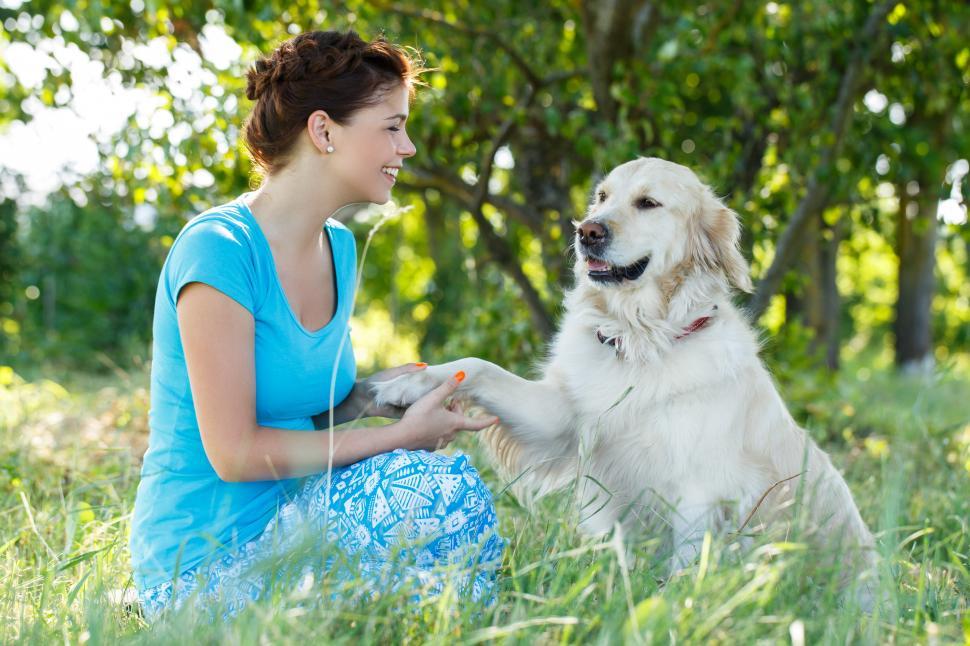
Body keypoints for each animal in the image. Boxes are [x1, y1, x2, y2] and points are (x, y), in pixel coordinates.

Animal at [372, 157, 876, 608]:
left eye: (649, 203)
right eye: (601, 197)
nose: (587, 231)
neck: (642, 341)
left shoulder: (699, 493)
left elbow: (685, 571)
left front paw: (672, 611)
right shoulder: (562, 421)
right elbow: (478, 366)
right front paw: (410, 384)